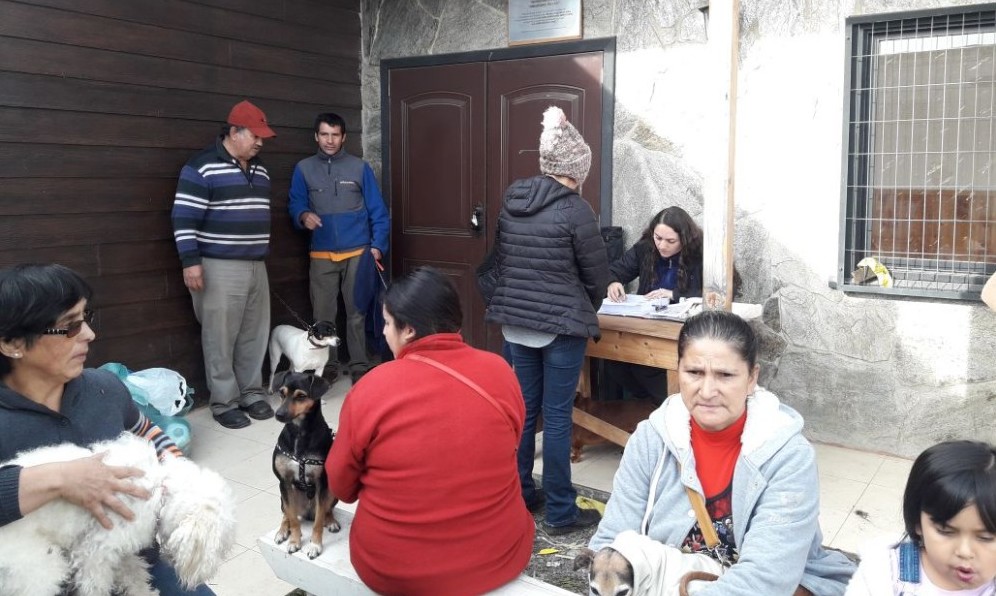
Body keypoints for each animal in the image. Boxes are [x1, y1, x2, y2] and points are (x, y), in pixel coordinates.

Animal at [0, 434, 235, 596]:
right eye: (221, 546)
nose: (209, 572)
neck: (159, 489)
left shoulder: (117, 551)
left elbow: (133, 574)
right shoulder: (94, 553)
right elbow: (95, 586)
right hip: (38, 569)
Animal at [270, 372, 340, 560]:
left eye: (301, 396)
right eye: (281, 393)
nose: (278, 414)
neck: (299, 433)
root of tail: (307, 513)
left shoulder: (322, 483)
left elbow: (318, 521)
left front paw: (315, 545)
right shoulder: (284, 482)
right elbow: (294, 520)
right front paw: (294, 541)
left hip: (332, 492)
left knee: (326, 511)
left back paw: (331, 521)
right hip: (283, 497)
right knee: (287, 514)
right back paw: (282, 531)